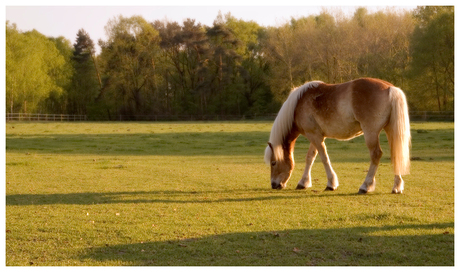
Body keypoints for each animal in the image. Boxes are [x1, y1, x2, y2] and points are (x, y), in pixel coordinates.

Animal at [264, 77, 412, 194]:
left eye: (273, 163)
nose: (274, 185)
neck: (298, 104)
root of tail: (390, 89)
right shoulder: (316, 136)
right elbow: (310, 157)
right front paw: (303, 182)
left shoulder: (315, 136)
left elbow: (324, 158)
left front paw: (331, 184)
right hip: (391, 130)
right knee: (396, 154)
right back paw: (397, 187)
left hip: (371, 133)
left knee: (376, 154)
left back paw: (365, 186)